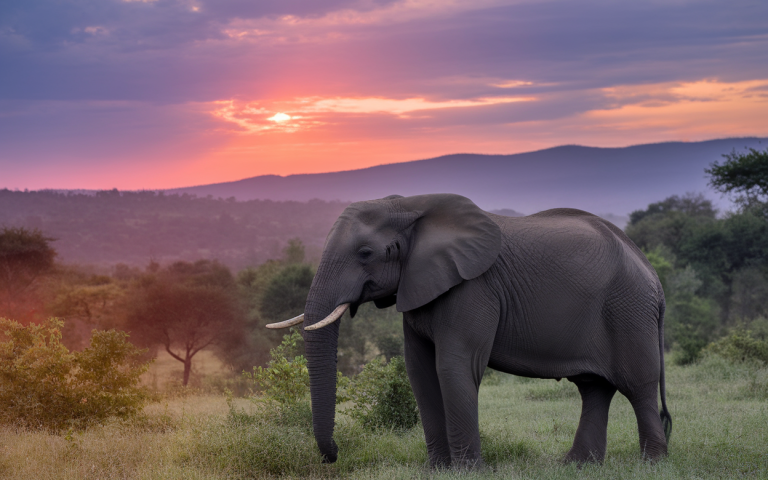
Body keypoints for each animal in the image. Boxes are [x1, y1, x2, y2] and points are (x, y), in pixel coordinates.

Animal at [267, 193, 672, 468]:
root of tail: (653, 275)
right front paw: (436, 470)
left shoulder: (472, 287)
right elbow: (420, 371)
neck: (409, 206)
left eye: (365, 253)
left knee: (638, 384)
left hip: (628, 310)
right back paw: (576, 465)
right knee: (594, 388)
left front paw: (466, 470)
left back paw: (652, 464)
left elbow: (453, 367)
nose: (333, 456)